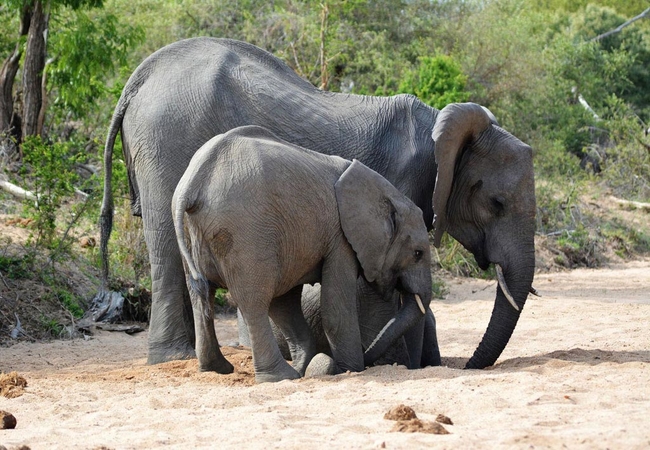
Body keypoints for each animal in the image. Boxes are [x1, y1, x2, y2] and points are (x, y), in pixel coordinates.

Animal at [173, 126, 430, 384]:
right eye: (417, 253)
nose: (368, 362)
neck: (386, 193)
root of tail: (193, 182)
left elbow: (287, 303)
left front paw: (318, 367)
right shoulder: (341, 237)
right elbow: (334, 309)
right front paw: (349, 369)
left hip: (203, 231)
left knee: (204, 294)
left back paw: (220, 369)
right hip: (244, 232)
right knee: (255, 302)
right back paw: (280, 376)